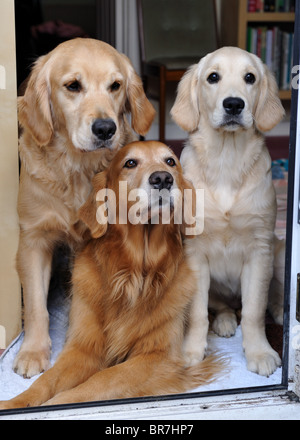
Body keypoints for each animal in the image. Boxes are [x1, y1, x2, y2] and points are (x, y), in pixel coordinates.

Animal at [0, 142, 225, 410]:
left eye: (170, 161)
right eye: (130, 163)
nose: (162, 179)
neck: (135, 272)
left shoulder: (159, 357)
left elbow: (99, 382)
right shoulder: (83, 347)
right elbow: (46, 382)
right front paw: (13, 403)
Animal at [13, 37, 155, 378]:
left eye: (115, 85)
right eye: (73, 86)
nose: (105, 128)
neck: (77, 170)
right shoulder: (33, 240)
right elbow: (36, 306)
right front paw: (33, 351)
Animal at [170, 46, 284, 374]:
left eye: (250, 78)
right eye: (213, 77)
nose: (234, 104)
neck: (226, 161)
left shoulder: (260, 250)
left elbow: (255, 311)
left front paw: (260, 352)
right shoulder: (194, 253)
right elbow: (197, 312)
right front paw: (192, 350)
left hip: (280, 252)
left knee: (268, 297)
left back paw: (280, 310)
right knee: (220, 306)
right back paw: (223, 321)